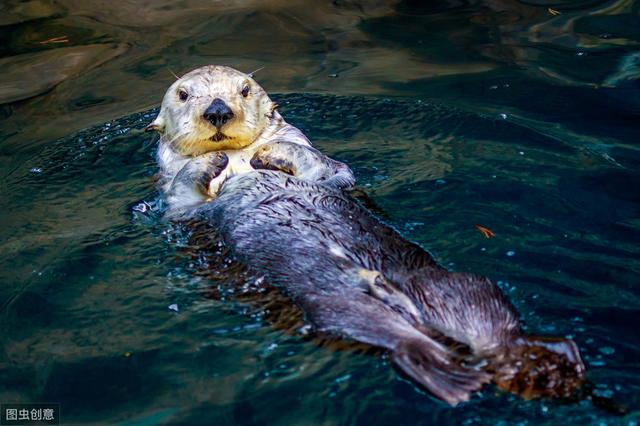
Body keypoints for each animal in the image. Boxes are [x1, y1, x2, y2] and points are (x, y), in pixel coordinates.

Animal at [149, 65, 584, 404]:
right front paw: (210, 162)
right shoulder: (178, 206)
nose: (217, 111)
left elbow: (326, 168)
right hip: (337, 310)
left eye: (244, 90)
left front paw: (273, 153)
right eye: (184, 94)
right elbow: (185, 193)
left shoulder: (329, 170)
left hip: (450, 285)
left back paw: (552, 362)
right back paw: (460, 375)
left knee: (493, 328)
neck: (240, 161)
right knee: (399, 338)